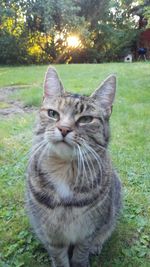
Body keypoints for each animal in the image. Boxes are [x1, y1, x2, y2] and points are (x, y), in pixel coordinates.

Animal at [26, 67, 122, 267]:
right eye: (53, 113)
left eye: (86, 119)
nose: (63, 128)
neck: (64, 170)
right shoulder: (51, 235)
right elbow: (59, 257)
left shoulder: (88, 231)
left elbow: (81, 253)